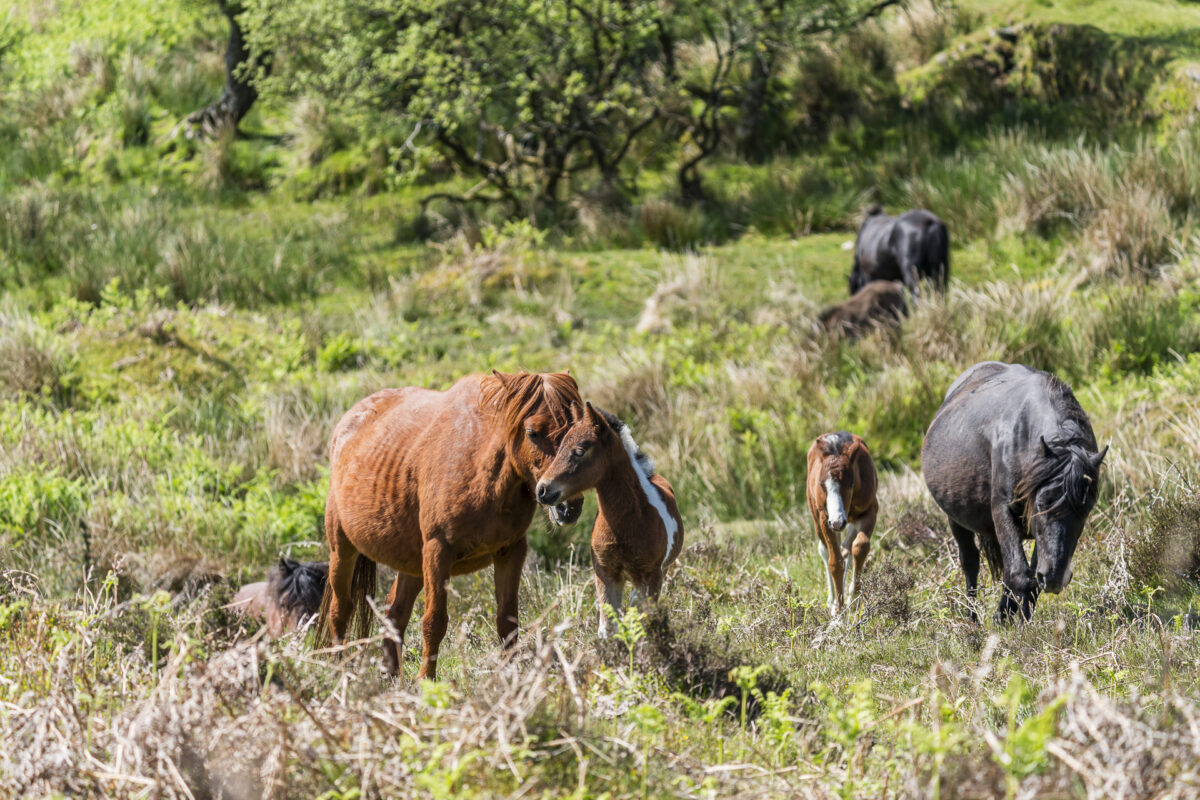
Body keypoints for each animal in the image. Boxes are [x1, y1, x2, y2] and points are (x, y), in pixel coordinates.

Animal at [319, 371, 580, 681]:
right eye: (533, 433)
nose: (568, 504)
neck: (481, 466)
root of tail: (347, 423)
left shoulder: (510, 551)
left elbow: (507, 623)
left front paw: (510, 682)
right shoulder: (438, 551)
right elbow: (434, 622)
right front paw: (426, 683)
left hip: (412, 563)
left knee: (394, 613)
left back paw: (392, 680)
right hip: (343, 550)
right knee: (341, 609)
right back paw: (337, 673)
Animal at [535, 402, 686, 642]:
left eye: (580, 450)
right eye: (559, 449)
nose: (542, 490)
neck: (624, 525)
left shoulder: (651, 575)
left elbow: (640, 622)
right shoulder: (605, 572)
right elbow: (608, 627)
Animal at [806, 431, 883, 614]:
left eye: (851, 483)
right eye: (821, 484)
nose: (837, 522)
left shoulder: (870, 510)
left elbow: (860, 547)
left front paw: (854, 601)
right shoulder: (824, 518)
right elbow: (835, 562)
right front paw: (838, 614)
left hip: (852, 520)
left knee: (846, 548)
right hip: (817, 516)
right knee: (826, 551)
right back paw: (832, 601)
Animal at [921, 362, 1108, 623]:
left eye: (1085, 509)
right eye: (1042, 504)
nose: (1055, 578)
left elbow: (1028, 576)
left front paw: (1010, 617)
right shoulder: (1003, 511)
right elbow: (1020, 575)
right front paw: (1023, 626)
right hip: (955, 520)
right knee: (970, 562)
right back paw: (972, 620)